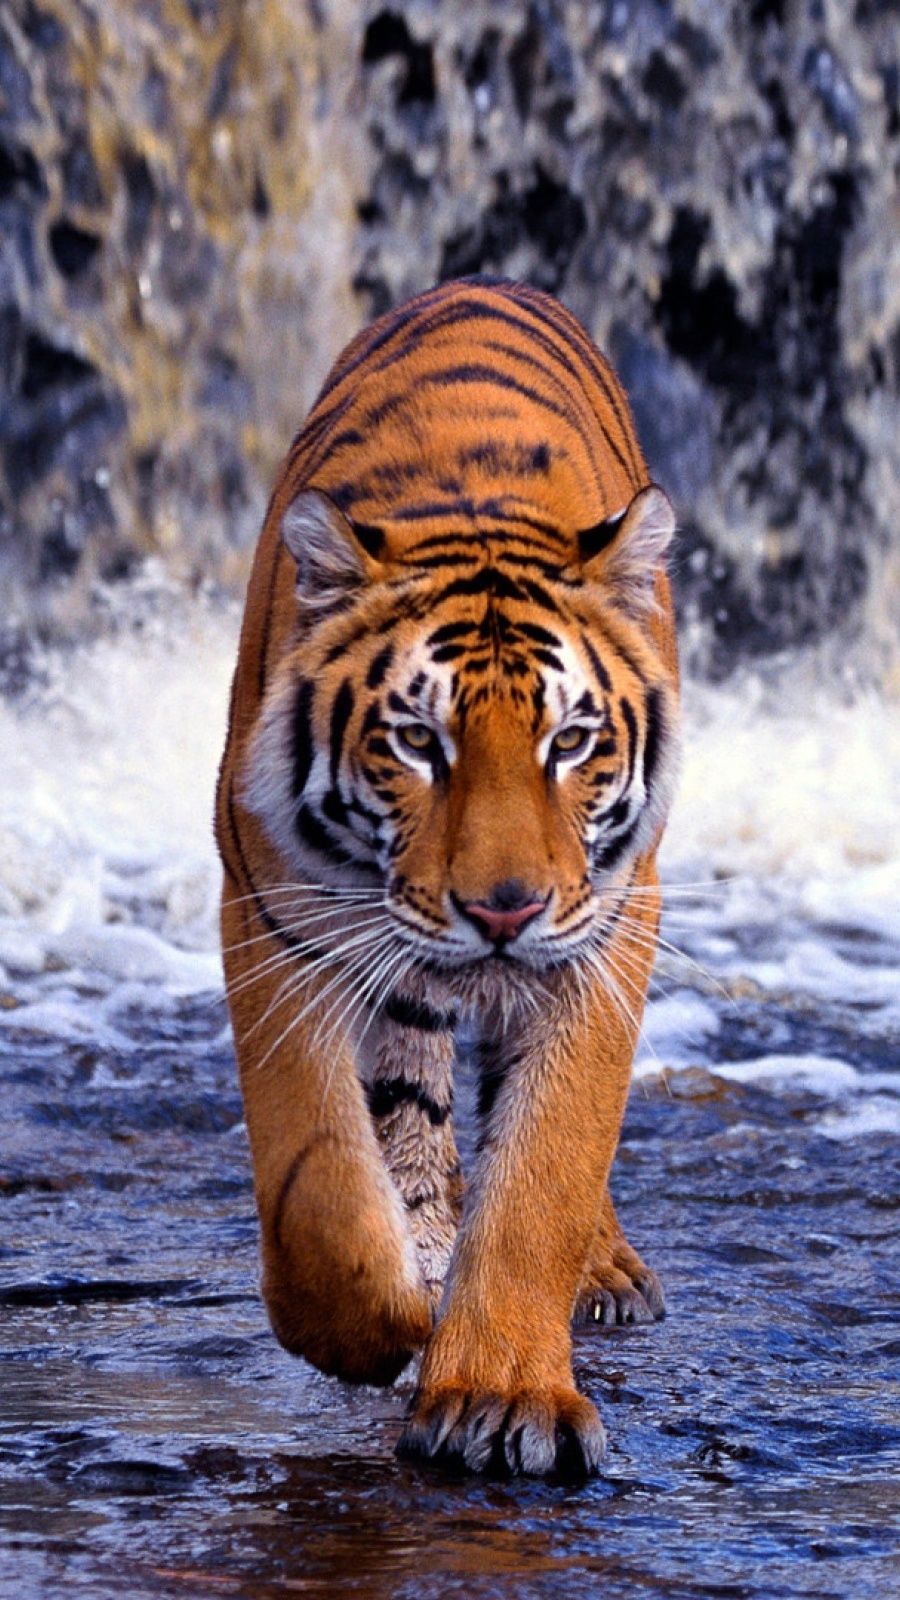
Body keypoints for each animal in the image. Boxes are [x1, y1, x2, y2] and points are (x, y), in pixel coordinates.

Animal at [215, 275, 680, 1479]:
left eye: (572, 741)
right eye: (418, 741)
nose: (503, 910)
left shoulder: (606, 928)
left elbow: (548, 1166)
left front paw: (501, 1394)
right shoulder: (276, 912)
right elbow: (319, 1178)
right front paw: (377, 1324)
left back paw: (601, 1271)